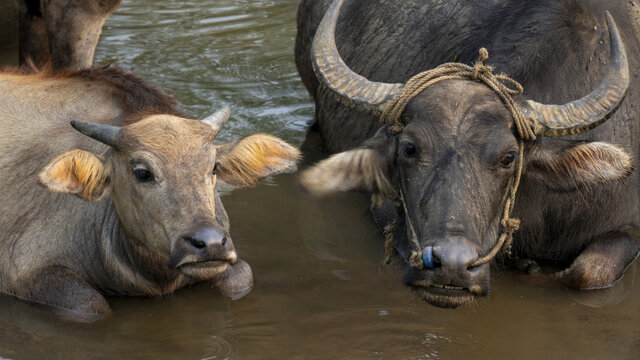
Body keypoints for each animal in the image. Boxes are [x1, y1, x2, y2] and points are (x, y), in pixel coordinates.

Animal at [0, 65, 300, 324]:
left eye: (213, 166)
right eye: (142, 172)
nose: (210, 243)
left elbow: (242, 276)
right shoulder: (27, 273)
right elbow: (91, 305)